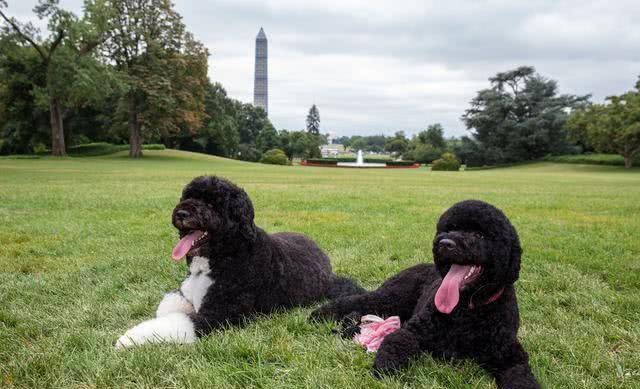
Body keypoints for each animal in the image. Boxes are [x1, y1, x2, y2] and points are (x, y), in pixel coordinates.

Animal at [117, 174, 362, 348]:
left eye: (213, 204)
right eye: (188, 196)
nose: (182, 213)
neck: (224, 255)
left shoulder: (220, 314)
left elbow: (177, 321)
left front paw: (129, 338)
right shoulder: (185, 292)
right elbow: (168, 306)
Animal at [310, 200, 540, 388]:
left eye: (479, 235)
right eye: (449, 228)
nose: (445, 243)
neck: (468, 309)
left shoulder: (510, 354)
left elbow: (521, 376)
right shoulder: (414, 331)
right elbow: (396, 341)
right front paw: (383, 369)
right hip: (390, 298)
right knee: (355, 300)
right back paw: (319, 314)